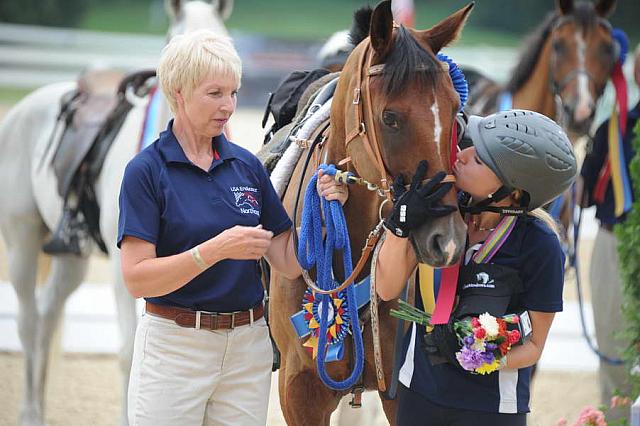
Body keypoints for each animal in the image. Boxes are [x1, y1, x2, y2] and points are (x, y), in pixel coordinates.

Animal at [0, 1, 234, 424]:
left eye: (225, 39)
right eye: (173, 39)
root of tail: (26, 105)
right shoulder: (124, 270)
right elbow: (129, 353)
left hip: (71, 260)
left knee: (47, 316)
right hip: (21, 243)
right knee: (27, 323)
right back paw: (28, 412)